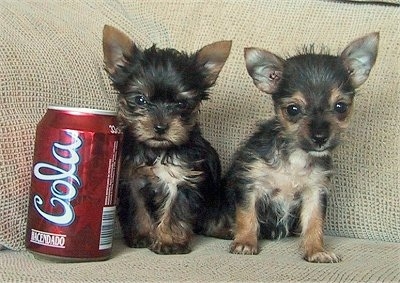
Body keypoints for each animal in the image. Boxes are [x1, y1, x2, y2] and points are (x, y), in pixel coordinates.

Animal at [101, 24, 231, 255]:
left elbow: (174, 210)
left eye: (181, 104)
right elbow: (137, 210)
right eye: (140, 99)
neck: (156, 149)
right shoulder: (132, 180)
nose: (161, 127)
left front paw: (169, 242)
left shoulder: (181, 178)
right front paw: (142, 235)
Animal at [212, 33, 378, 264]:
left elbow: (314, 223)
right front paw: (245, 242)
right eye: (293, 109)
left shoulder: (315, 192)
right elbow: (247, 216)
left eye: (341, 107)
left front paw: (316, 250)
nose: (320, 137)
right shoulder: (250, 184)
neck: (295, 158)